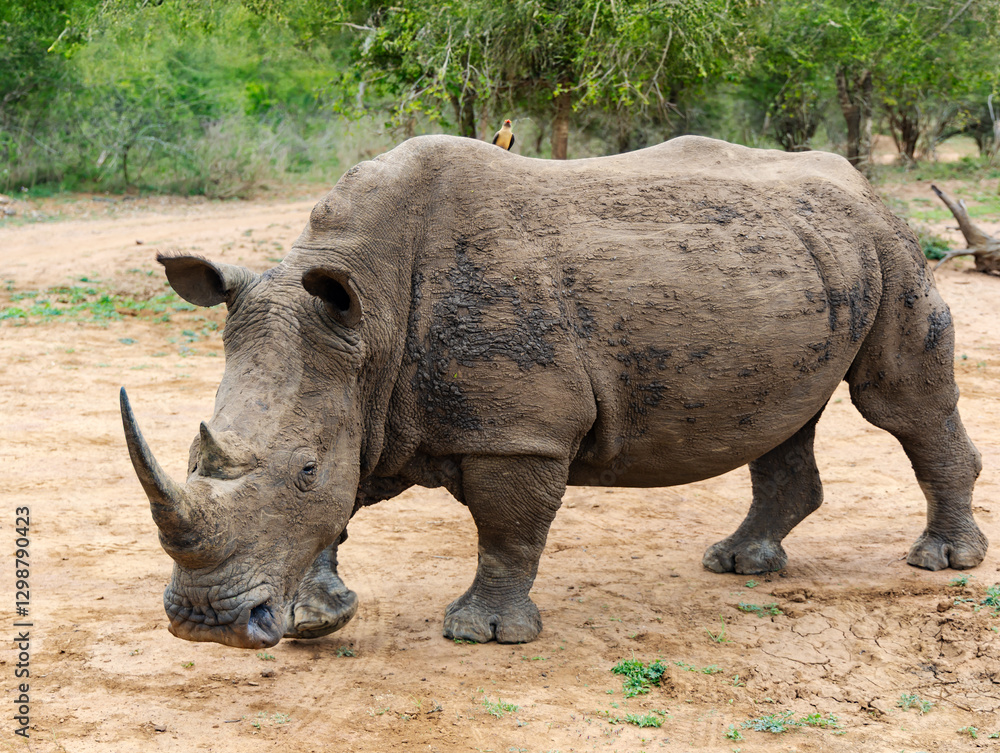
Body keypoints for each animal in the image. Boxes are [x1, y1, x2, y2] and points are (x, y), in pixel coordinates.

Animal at [121, 135, 986, 650]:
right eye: (194, 453)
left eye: (302, 467)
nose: (203, 623)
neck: (369, 316)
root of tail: (861, 183)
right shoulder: (354, 394)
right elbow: (338, 511)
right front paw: (315, 617)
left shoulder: (519, 430)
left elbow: (507, 528)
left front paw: (485, 634)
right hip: (805, 255)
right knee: (784, 416)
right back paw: (739, 565)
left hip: (889, 244)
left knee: (898, 401)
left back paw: (942, 562)